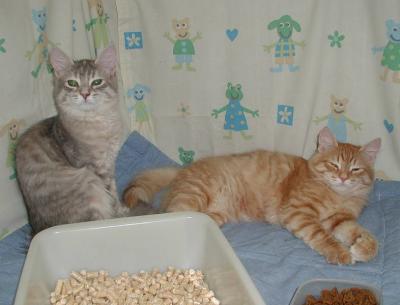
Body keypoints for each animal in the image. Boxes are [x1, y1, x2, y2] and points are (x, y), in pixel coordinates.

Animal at [14, 45, 151, 232]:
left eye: (96, 82)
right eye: (72, 83)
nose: (85, 94)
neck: (97, 122)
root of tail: (37, 230)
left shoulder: (109, 163)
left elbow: (114, 190)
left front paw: (120, 209)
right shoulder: (96, 168)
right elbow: (110, 194)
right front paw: (117, 214)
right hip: (88, 185)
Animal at [123, 126, 380, 264]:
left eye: (355, 169)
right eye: (334, 165)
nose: (343, 177)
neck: (338, 195)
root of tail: (183, 168)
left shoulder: (340, 219)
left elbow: (364, 235)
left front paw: (361, 249)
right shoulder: (298, 212)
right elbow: (322, 236)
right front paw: (340, 252)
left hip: (212, 214)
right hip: (192, 199)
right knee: (169, 217)